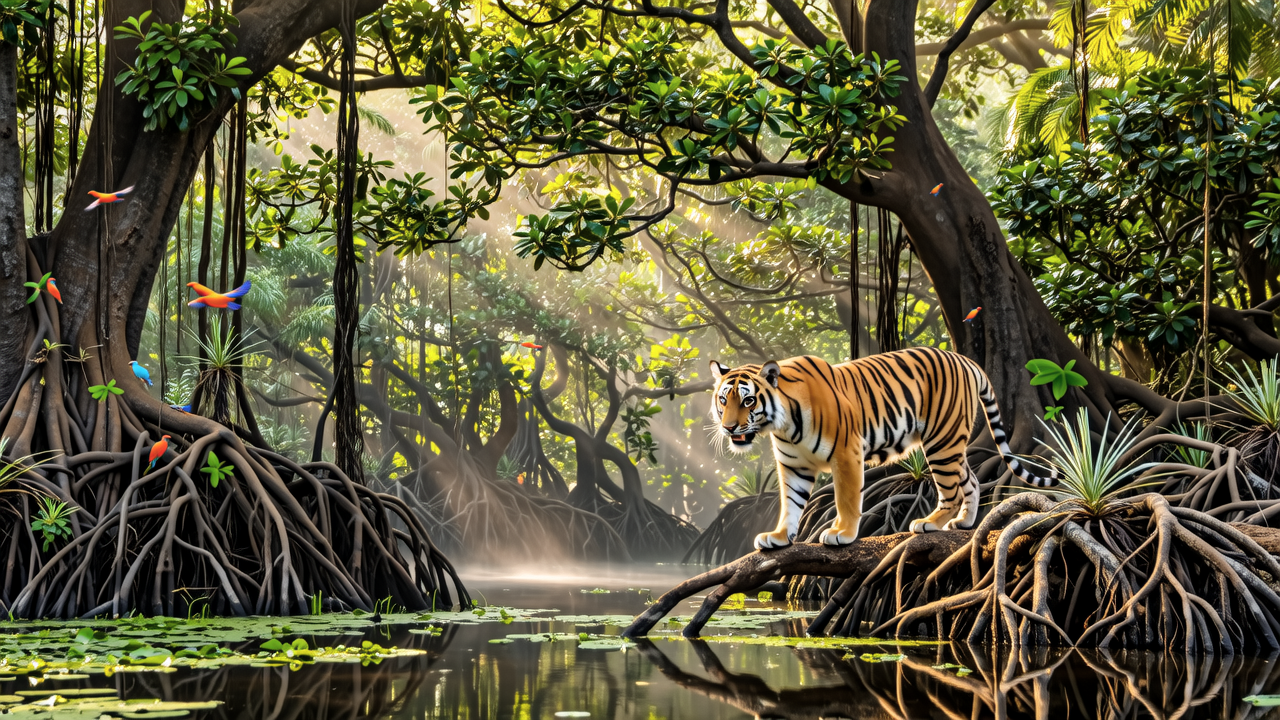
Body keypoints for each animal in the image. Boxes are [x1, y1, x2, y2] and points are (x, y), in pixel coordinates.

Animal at [709, 346, 1056, 550]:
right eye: (723, 400)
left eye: (748, 401)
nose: (729, 427)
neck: (782, 425)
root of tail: (965, 358)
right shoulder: (794, 466)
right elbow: (790, 504)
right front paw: (780, 538)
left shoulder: (846, 454)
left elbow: (847, 500)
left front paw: (842, 533)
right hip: (950, 444)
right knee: (970, 480)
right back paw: (963, 523)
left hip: (941, 440)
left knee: (953, 488)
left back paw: (930, 523)